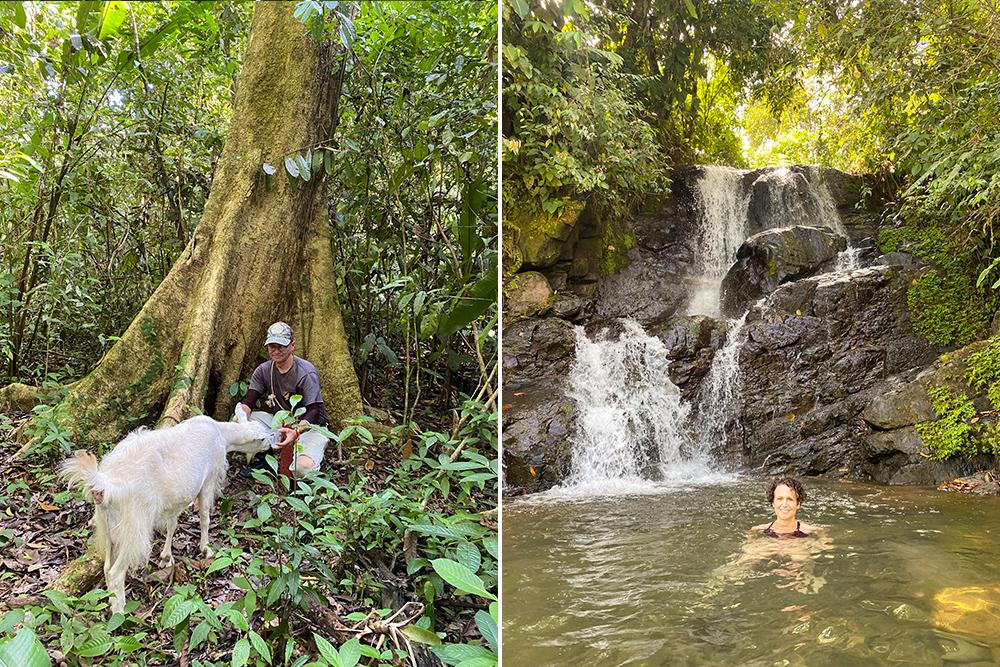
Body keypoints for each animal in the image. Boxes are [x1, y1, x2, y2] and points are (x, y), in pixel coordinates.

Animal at [58, 414, 278, 612]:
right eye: (263, 438)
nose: (273, 443)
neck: (222, 433)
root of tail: (105, 485)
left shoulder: (173, 501)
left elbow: (172, 525)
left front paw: (166, 557)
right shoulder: (209, 479)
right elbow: (205, 517)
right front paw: (206, 548)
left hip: (106, 523)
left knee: (106, 567)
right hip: (134, 525)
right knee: (115, 572)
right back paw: (119, 613)